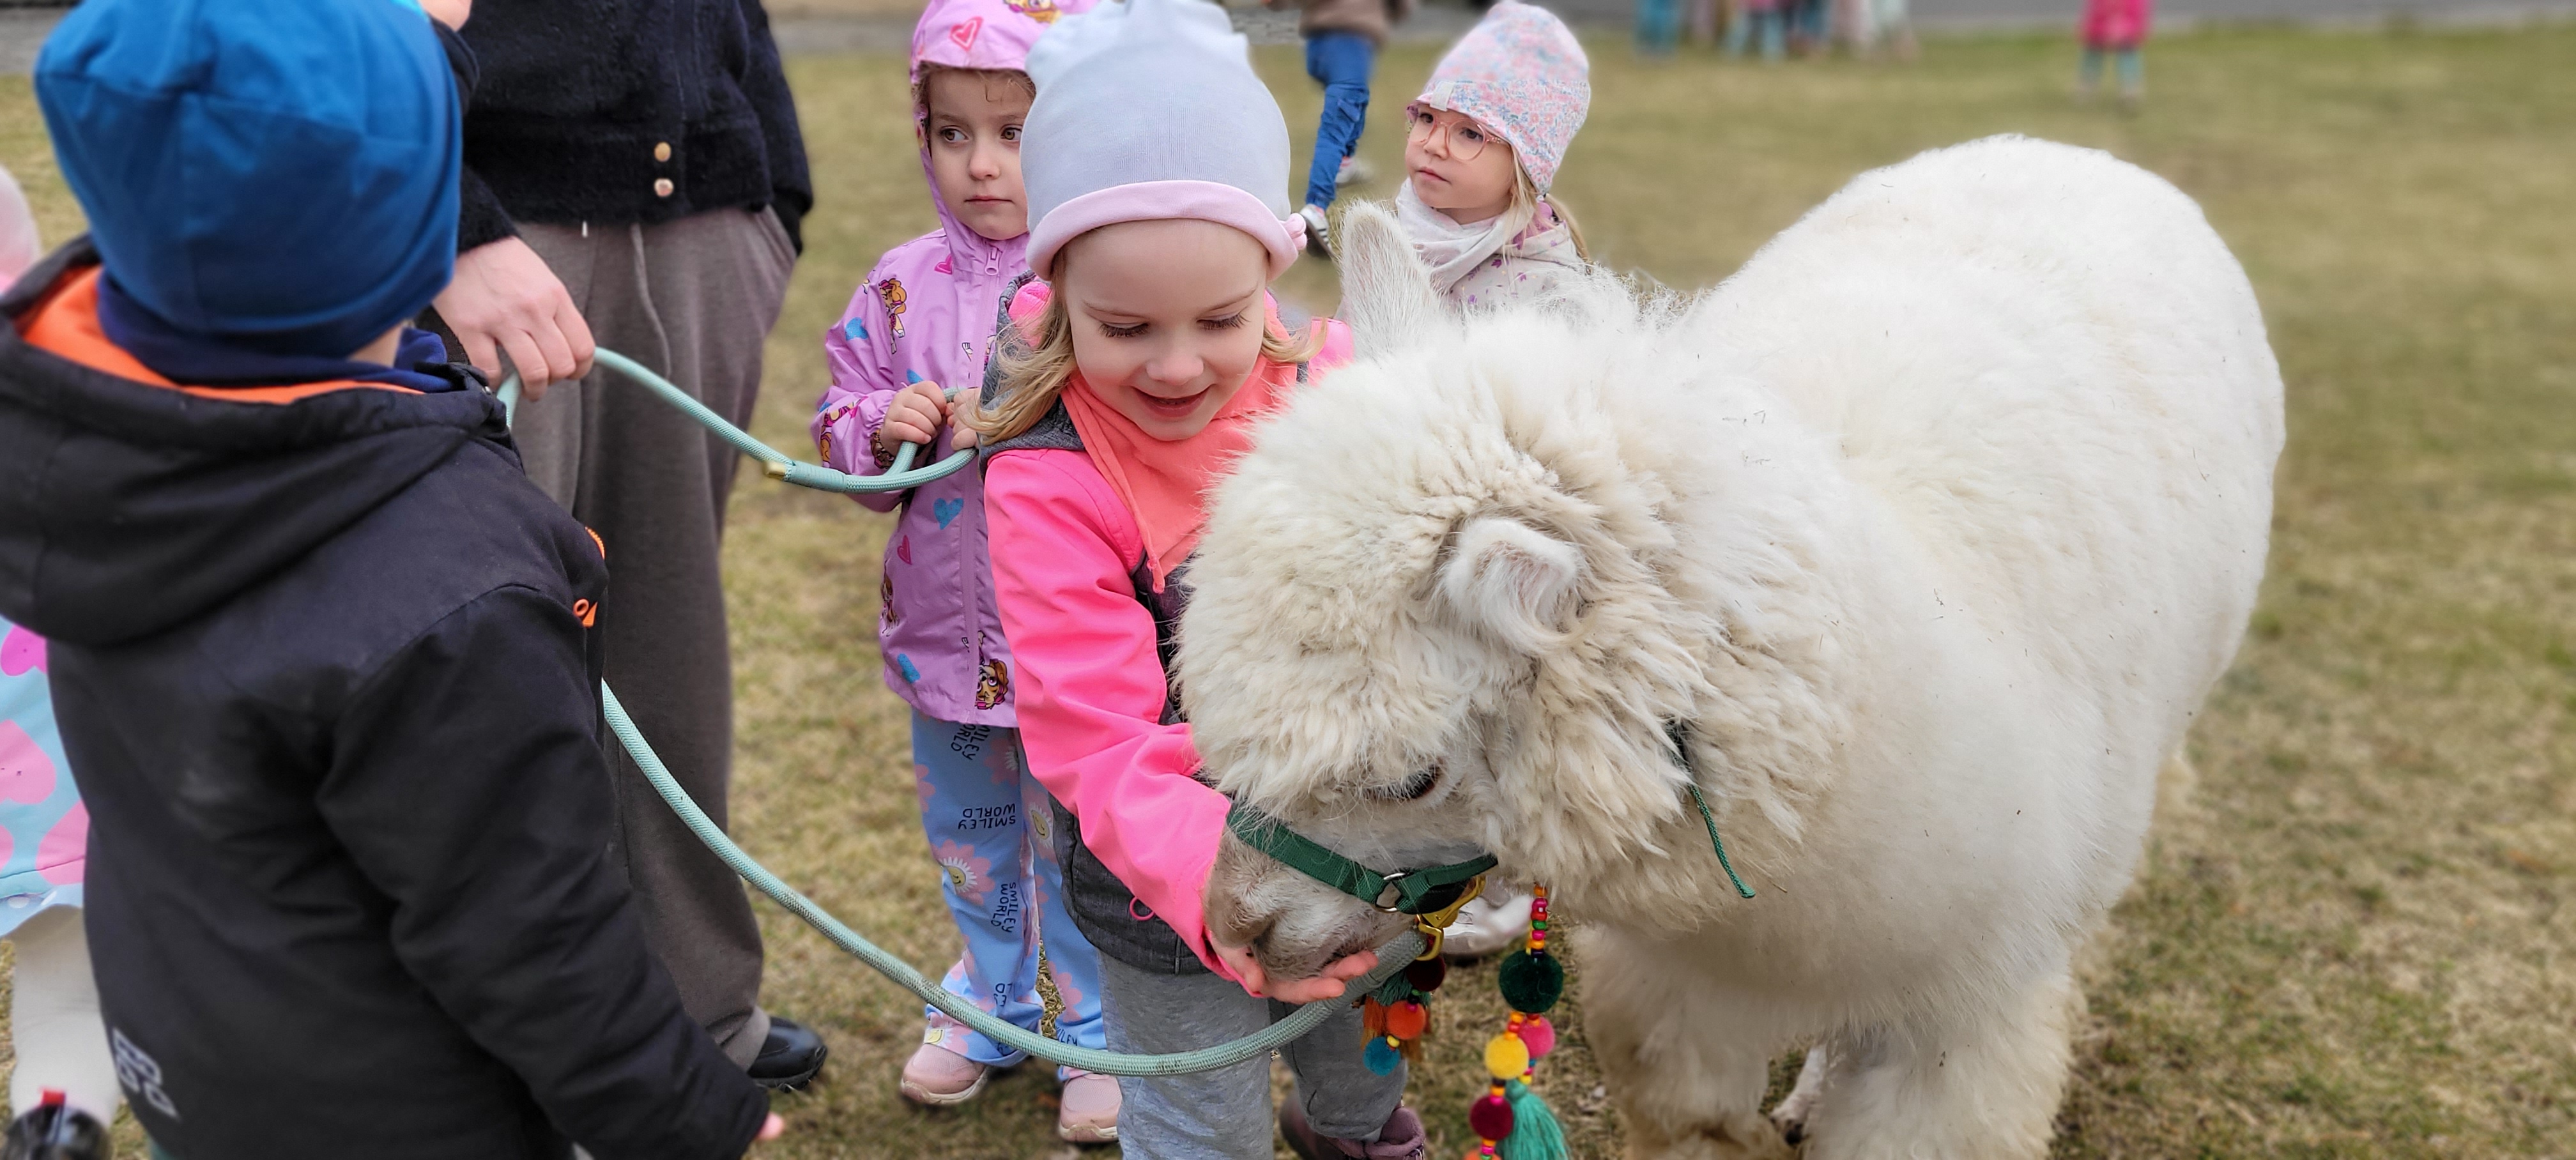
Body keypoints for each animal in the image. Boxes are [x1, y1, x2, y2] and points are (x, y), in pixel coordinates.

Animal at [1179, 136, 2284, 1158]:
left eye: (1409, 779)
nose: (1235, 931)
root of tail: (2070, 150)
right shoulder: (1682, 995)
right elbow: (1699, 1117)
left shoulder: (1971, 1012)